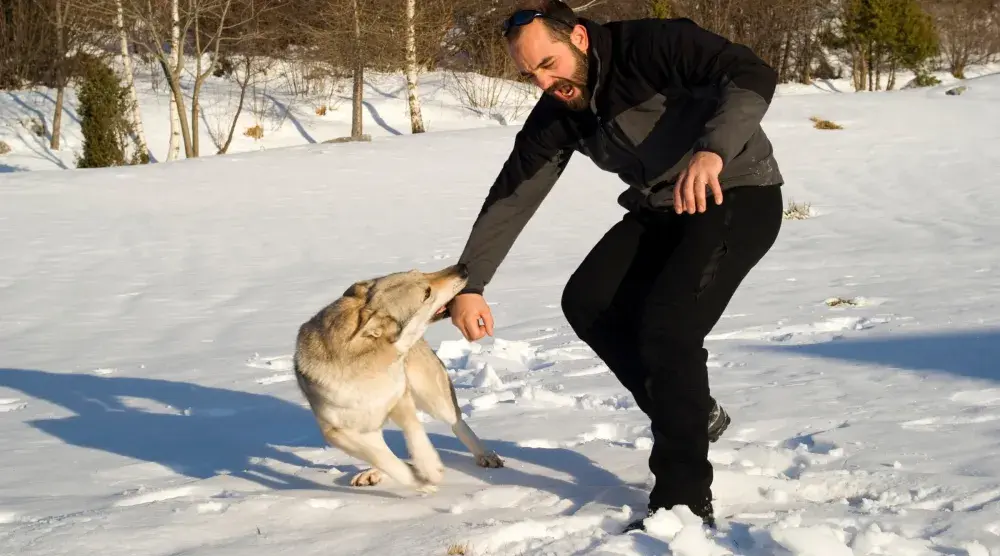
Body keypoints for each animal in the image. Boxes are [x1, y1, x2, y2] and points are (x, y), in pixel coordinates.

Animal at [292, 262, 504, 494]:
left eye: (419, 272)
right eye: (426, 293)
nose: (463, 267)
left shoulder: (400, 397)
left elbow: (415, 434)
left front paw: (431, 469)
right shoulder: (336, 432)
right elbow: (384, 458)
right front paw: (419, 480)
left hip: (435, 398)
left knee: (457, 422)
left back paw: (486, 456)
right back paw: (374, 474)